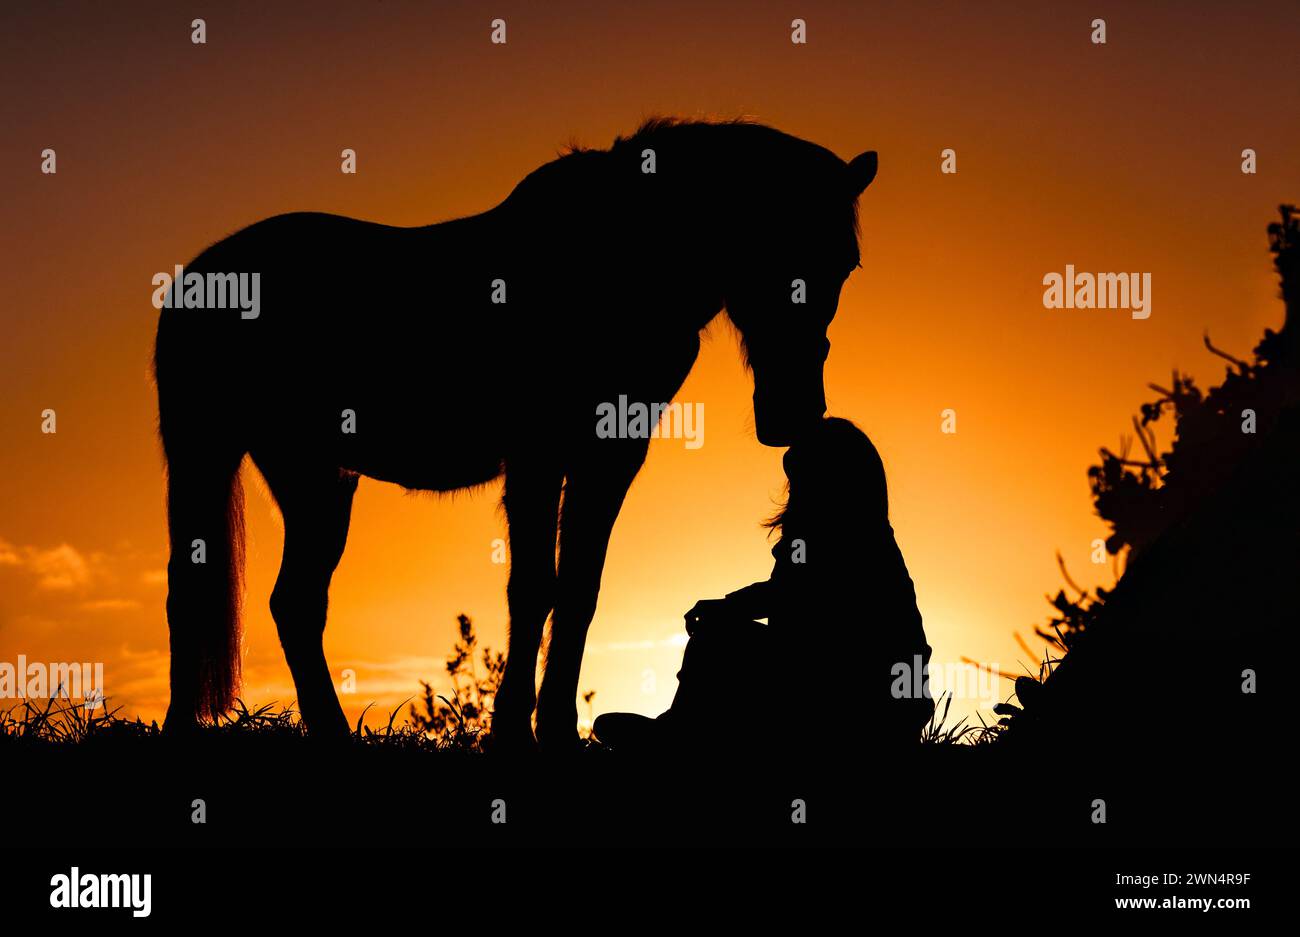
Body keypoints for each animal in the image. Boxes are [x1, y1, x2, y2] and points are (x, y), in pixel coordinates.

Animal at [154, 117, 878, 749]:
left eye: (844, 266)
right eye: (777, 246)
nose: (795, 414)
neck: (620, 261)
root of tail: (201, 275)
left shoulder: (610, 456)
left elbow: (580, 587)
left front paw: (556, 730)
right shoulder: (537, 454)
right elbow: (533, 587)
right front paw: (510, 731)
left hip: (315, 479)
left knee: (289, 602)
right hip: (254, 464)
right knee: (223, 593)